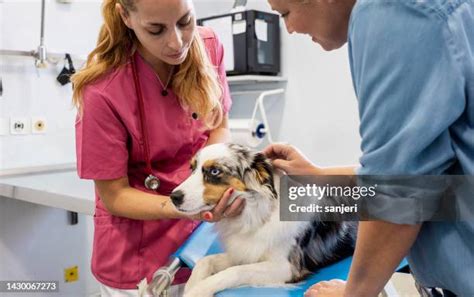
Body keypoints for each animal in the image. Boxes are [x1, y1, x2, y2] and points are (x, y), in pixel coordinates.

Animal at [171, 142, 360, 294]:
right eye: (192, 169)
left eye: (215, 171)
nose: (174, 197)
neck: (257, 215)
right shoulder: (245, 251)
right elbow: (206, 260)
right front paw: (191, 284)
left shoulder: (286, 268)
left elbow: (237, 271)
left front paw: (198, 290)